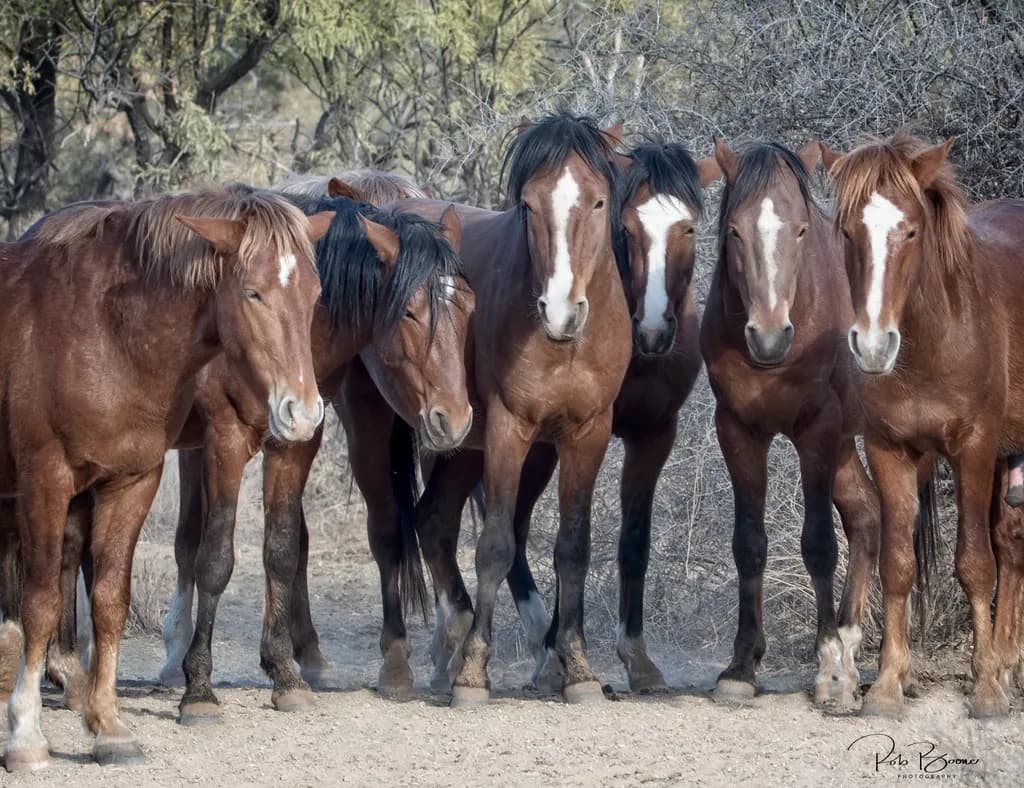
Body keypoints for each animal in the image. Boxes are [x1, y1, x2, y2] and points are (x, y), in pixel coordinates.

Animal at [0, 187, 330, 770]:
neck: (102, 333)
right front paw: (25, 735)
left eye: (314, 295)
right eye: (253, 293)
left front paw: (109, 728)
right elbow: (40, 604)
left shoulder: (131, 483)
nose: (303, 413)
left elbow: (110, 600)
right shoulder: (45, 483)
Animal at [822, 133, 1024, 717]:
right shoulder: (889, 449)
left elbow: (975, 563)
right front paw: (889, 685)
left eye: (911, 231)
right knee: (1012, 543)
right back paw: (1008, 667)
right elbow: (898, 564)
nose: (872, 345)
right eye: (848, 231)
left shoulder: (974, 449)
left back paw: (1004, 670)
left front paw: (985, 691)